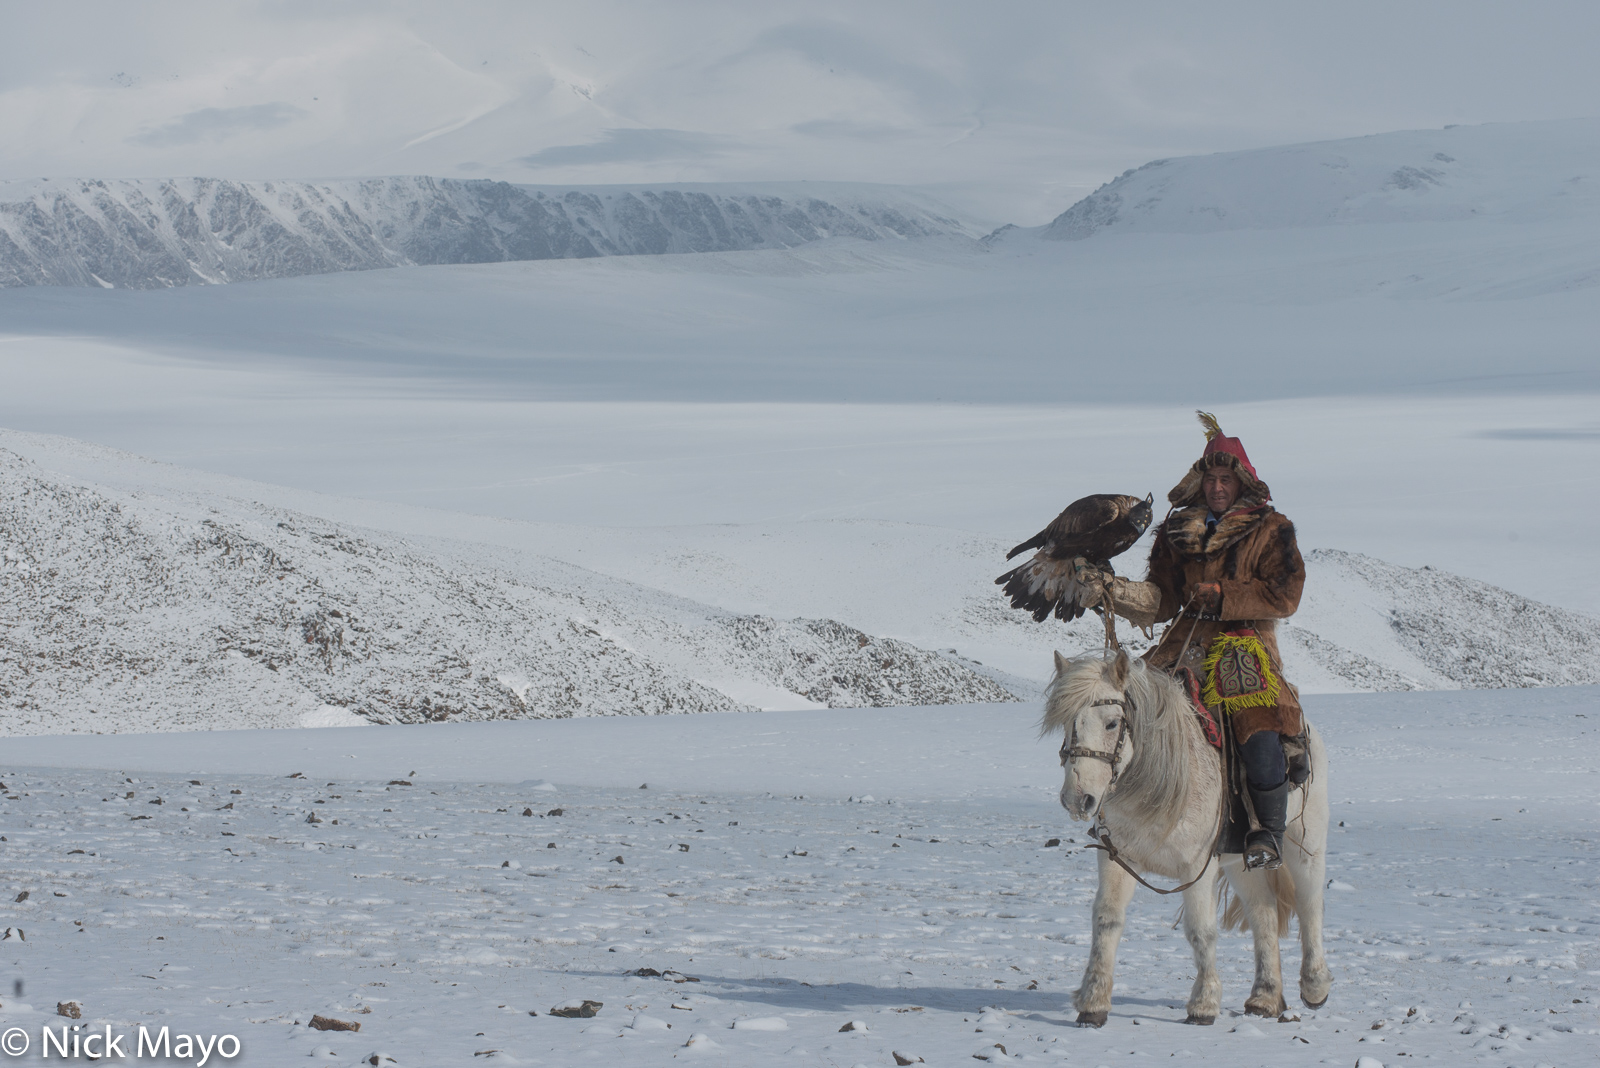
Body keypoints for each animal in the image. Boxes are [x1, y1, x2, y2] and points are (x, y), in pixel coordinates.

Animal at [1043, 645, 1331, 1029]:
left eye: (1112, 723)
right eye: (1066, 722)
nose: (1078, 799)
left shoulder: (1198, 866)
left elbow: (1200, 929)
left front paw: (1203, 1005)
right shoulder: (1117, 856)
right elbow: (1107, 919)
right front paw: (1092, 1003)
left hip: (1306, 844)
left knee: (1310, 904)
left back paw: (1315, 987)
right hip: (1242, 862)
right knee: (1264, 913)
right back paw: (1264, 998)